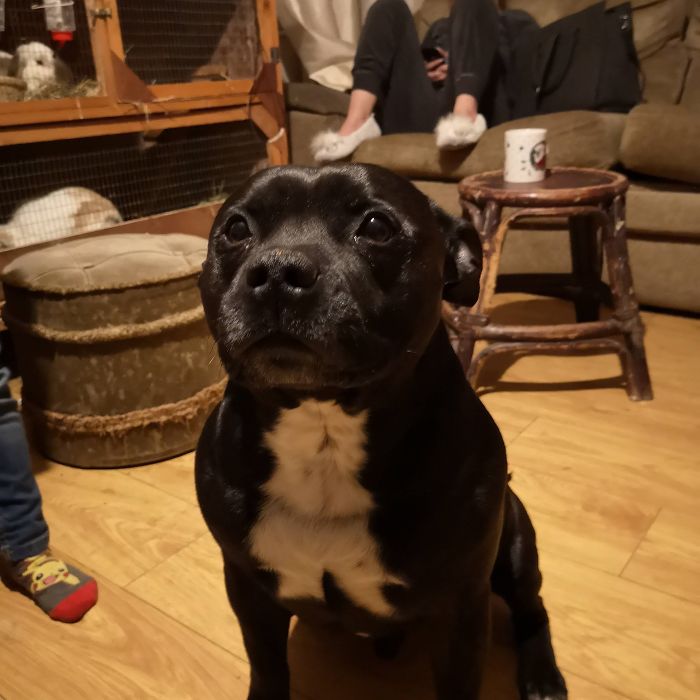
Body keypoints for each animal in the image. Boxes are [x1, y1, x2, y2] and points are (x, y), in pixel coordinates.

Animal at [194, 164, 568, 700]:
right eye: (236, 229)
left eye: (376, 227)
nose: (278, 272)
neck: (323, 430)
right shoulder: (247, 586)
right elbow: (266, 666)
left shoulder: (461, 605)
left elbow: (460, 683)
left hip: (516, 550)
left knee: (532, 608)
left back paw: (541, 674)